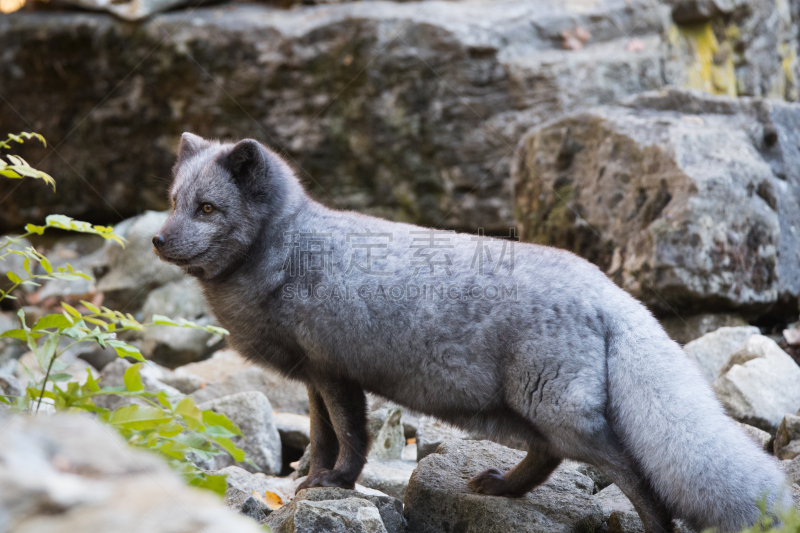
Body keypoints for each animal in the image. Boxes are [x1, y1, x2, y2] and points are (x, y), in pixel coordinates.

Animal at [153, 134, 792, 532]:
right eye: (175, 201)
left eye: (208, 209)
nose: (156, 240)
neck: (288, 252)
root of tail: (610, 293)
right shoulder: (313, 379)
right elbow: (320, 436)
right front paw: (311, 483)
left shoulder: (336, 374)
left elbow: (351, 439)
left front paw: (335, 483)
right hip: (527, 410)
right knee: (551, 456)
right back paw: (503, 490)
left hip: (554, 408)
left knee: (630, 471)